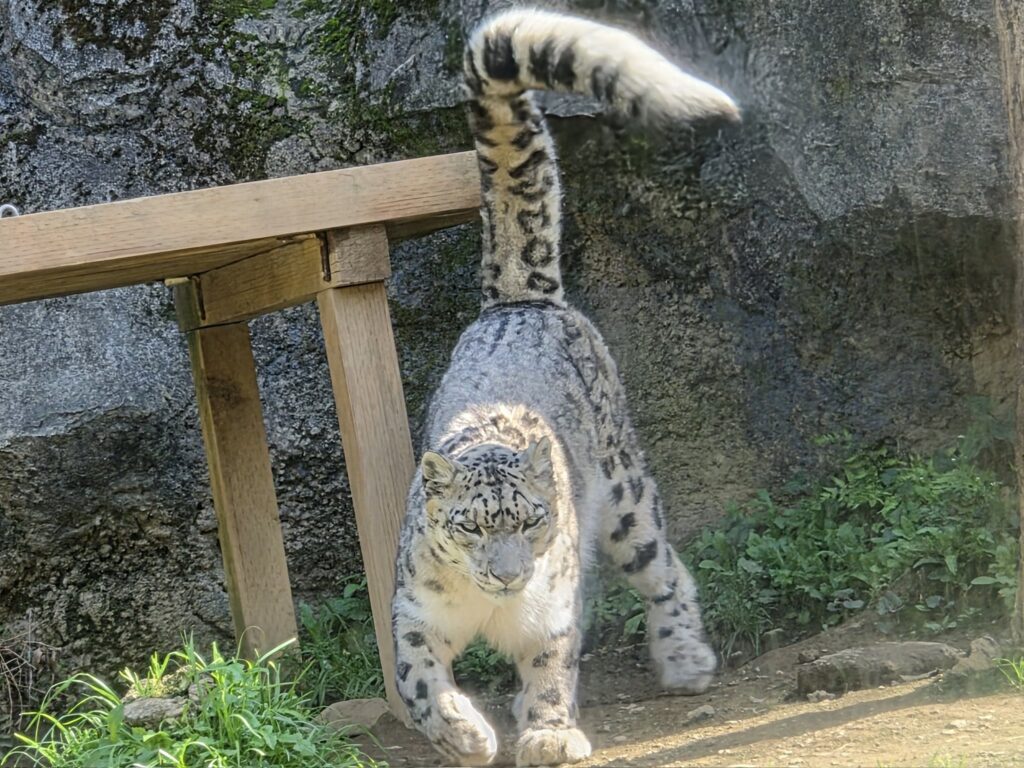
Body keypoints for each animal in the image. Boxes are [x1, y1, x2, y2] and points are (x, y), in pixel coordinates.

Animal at [390, 8, 740, 766]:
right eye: (470, 526)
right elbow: (417, 677)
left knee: (665, 566)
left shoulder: (552, 612)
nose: (507, 574)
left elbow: (553, 664)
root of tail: (521, 301)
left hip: (628, 497)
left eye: (531, 521)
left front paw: (549, 732)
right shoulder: (413, 612)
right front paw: (462, 730)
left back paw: (685, 659)